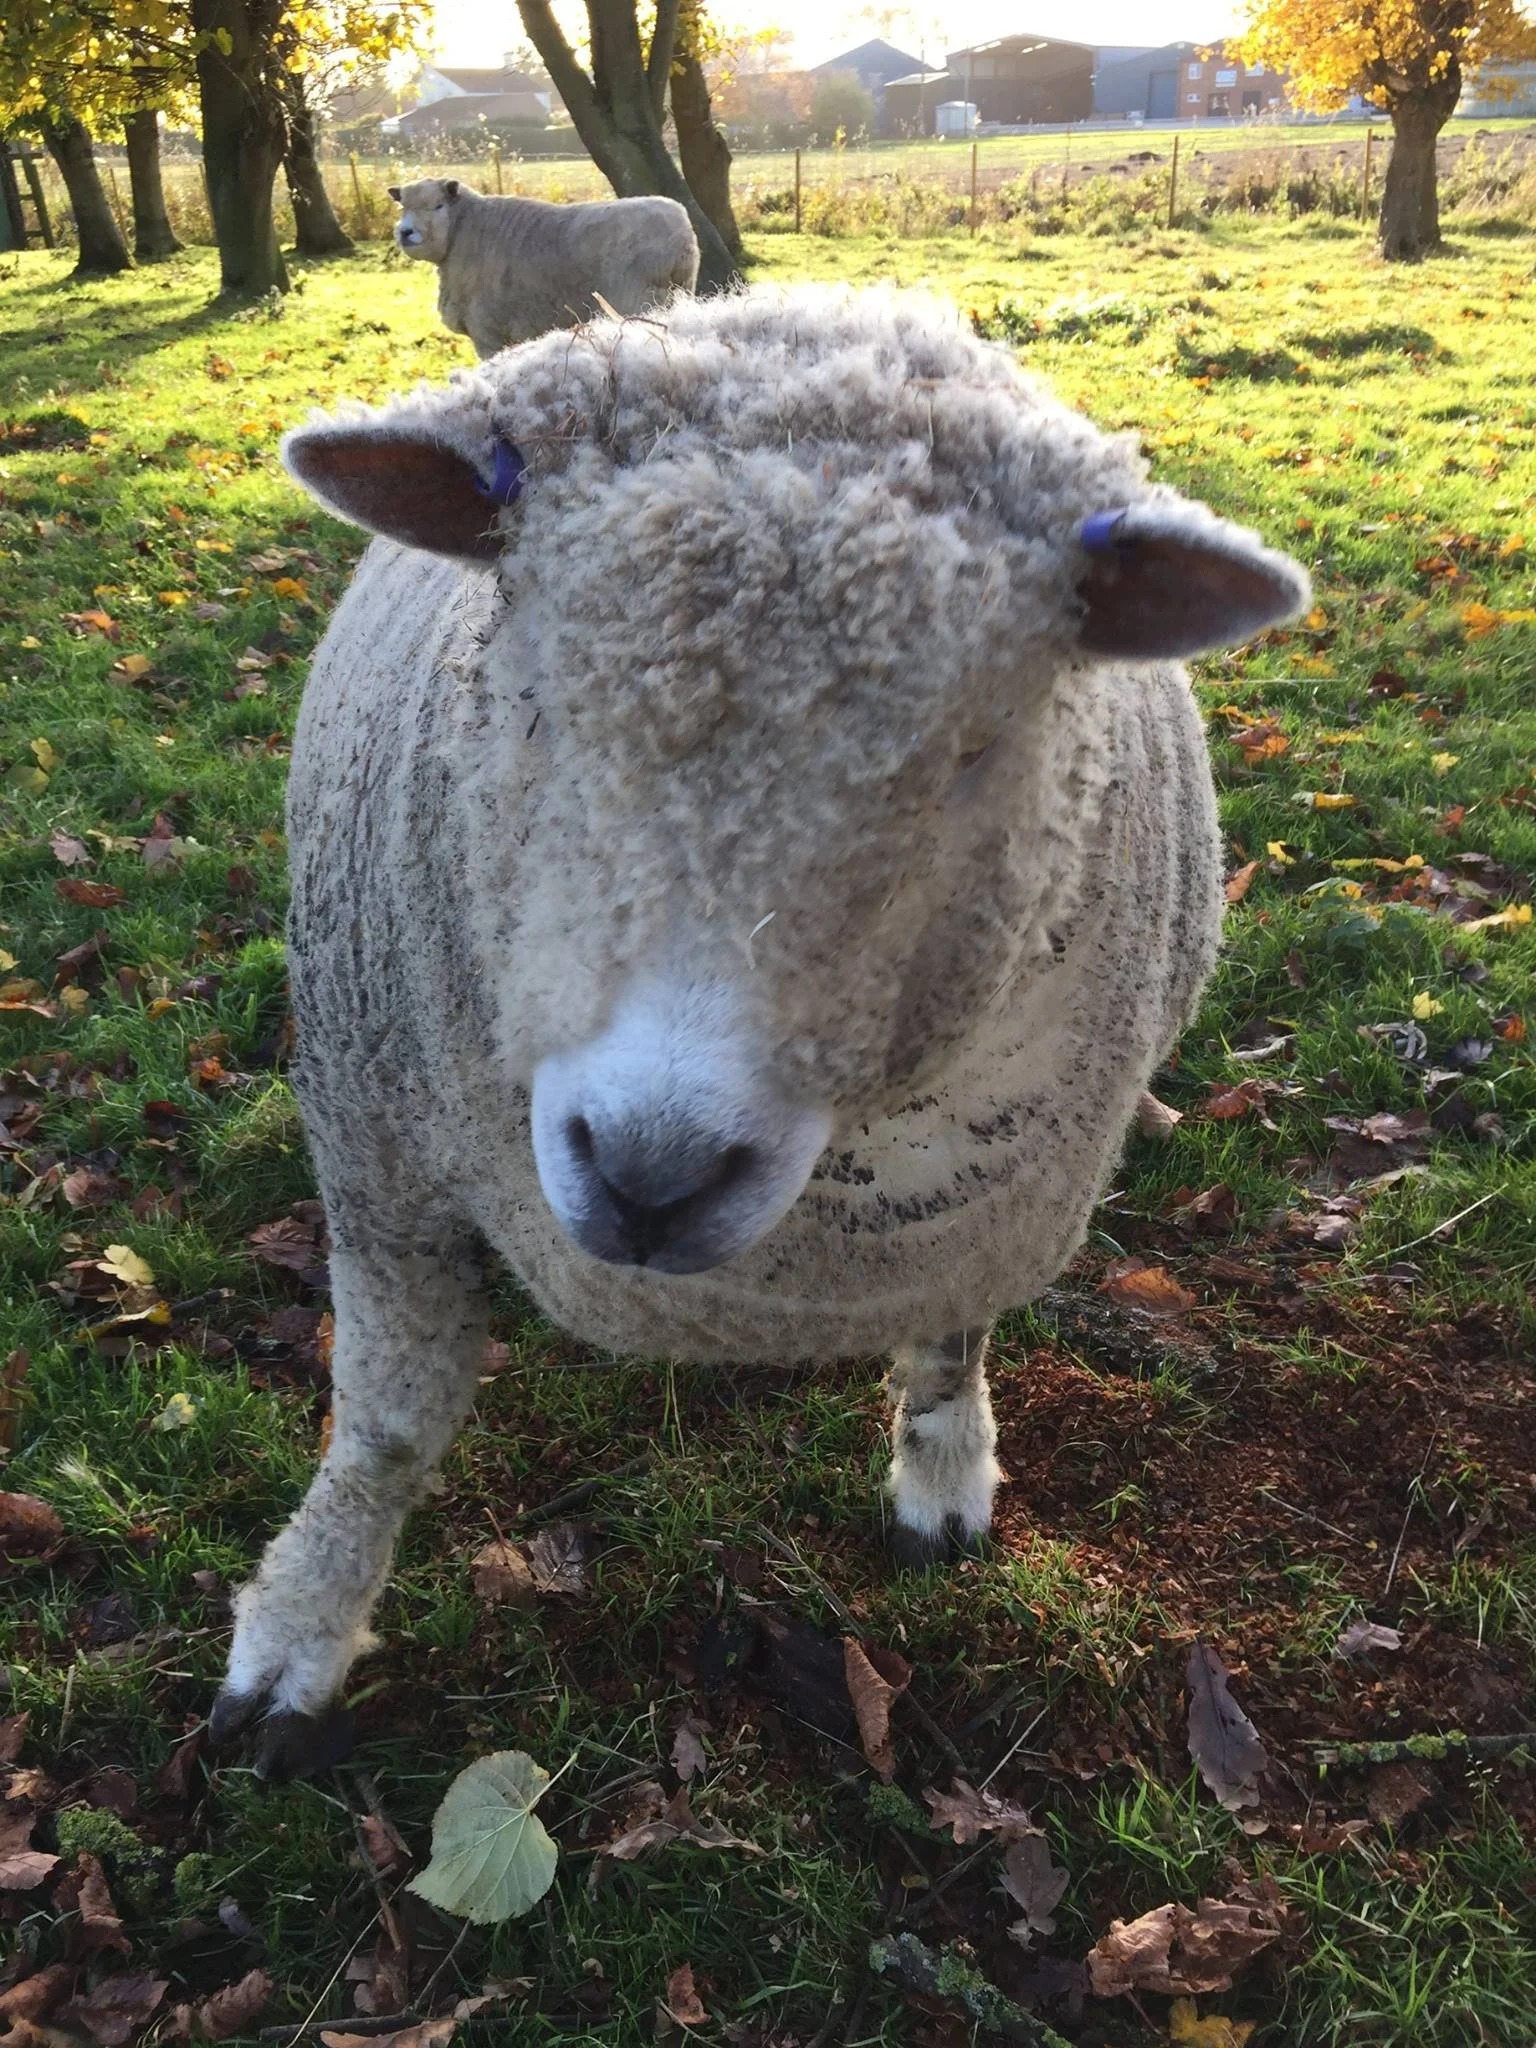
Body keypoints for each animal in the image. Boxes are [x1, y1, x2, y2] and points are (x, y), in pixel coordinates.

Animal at [211, 286, 1309, 1779]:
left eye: (978, 746)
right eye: (533, 686)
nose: (649, 1173)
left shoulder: (987, 1223)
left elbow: (957, 1343)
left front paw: (944, 1471)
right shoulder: (379, 1160)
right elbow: (385, 1422)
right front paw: (301, 1626)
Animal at [389, 176, 699, 358]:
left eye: (438, 206)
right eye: (403, 208)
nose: (405, 232)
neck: (463, 231)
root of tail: (682, 234)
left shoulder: (487, 332)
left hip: (638, 301)